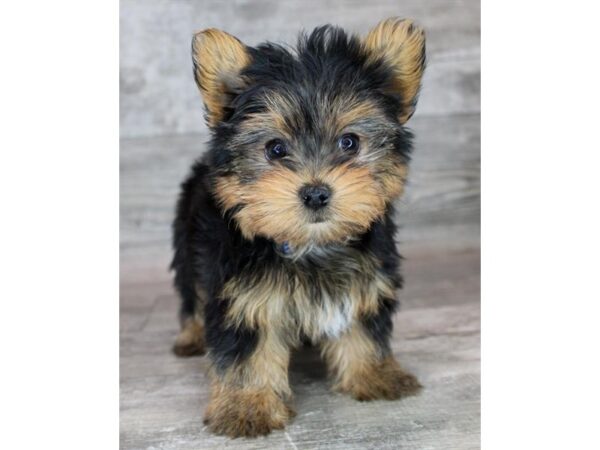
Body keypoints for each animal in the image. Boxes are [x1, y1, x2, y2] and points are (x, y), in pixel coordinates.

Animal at [170, 17, 426, 436]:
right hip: (185, 239)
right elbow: (246, 350)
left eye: (349, 142)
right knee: (191, 293)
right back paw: (191, 336)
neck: (309, 245)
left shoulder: (365, 275)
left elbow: (363, 322)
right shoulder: (242, 294)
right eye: (275, 149)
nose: (316, 193)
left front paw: (374, 374)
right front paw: (247, 406)